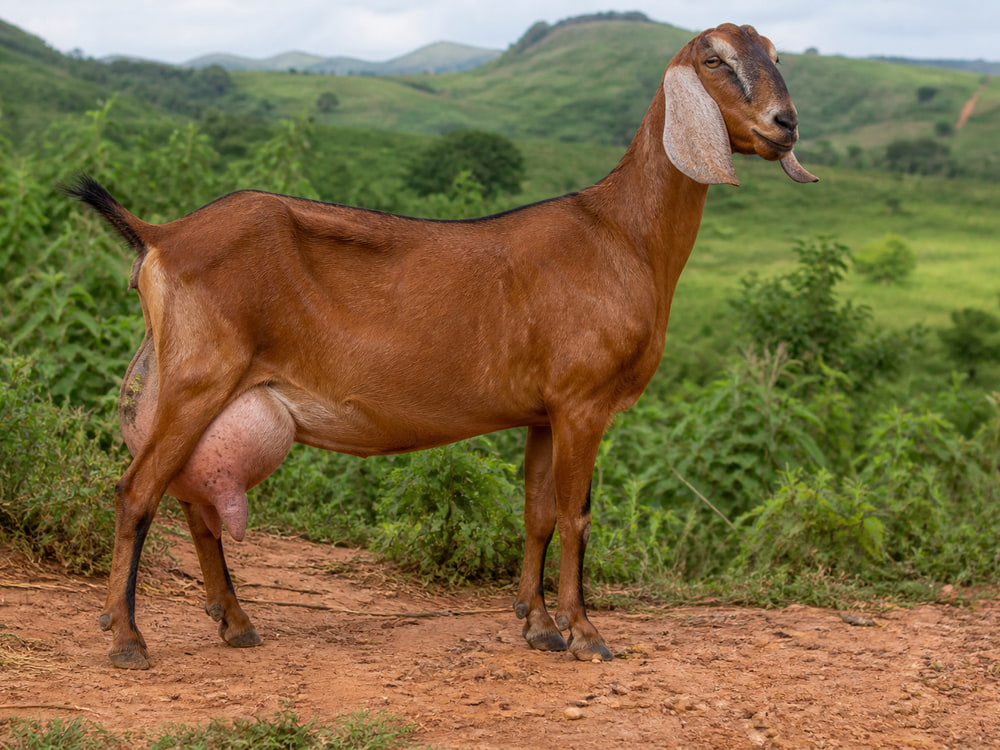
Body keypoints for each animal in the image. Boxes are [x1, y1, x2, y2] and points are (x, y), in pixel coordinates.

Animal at [67, 23, 816, 670]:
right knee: (137, 490)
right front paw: (584, 634)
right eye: (715, 60)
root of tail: (161, 234)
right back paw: (128, 639)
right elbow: (576, 516)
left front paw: (537, 625)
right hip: (199, 376)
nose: (786, 123)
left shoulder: (543, 411)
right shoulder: (582, 401)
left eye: (777, 54)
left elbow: (538, 514)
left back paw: (235, 623)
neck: (621, 234)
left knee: (193, 499)